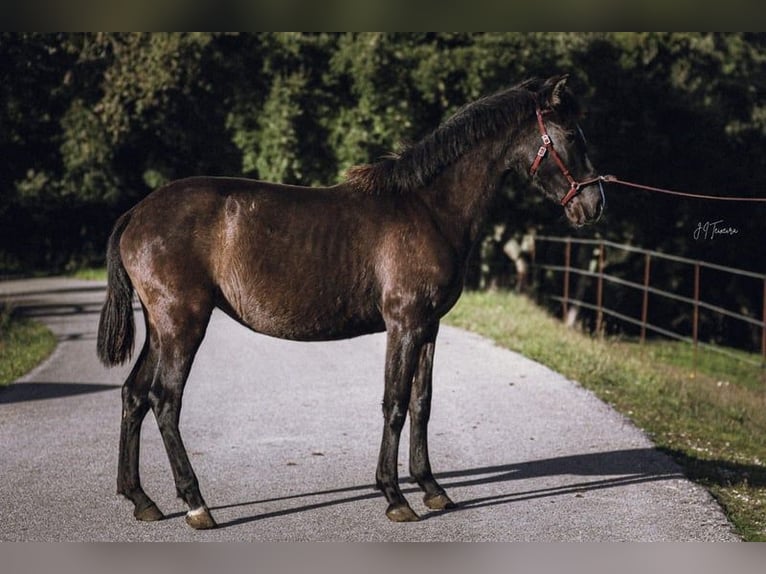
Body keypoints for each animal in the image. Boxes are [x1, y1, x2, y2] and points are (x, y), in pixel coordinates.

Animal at [100, 75, 608, 532]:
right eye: (571, 135)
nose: (594, 204)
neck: (429, 208)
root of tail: (136, 213)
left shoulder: (428, 327)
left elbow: (422, 402)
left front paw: (432, 488)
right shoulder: (404, 323)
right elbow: (395, 404)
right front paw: (395, 497)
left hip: (161, 328)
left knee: (133, 395)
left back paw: (140, 499)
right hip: (183, 324)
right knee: (165, 400)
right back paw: (196, 504)